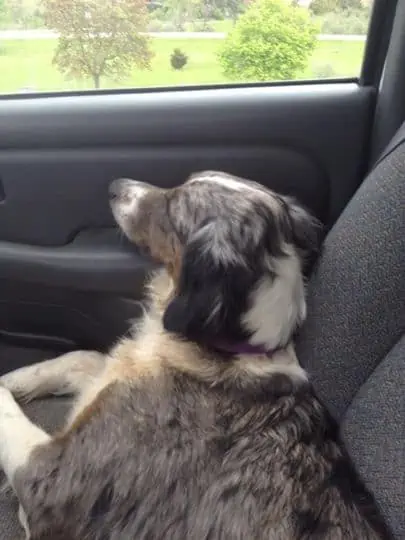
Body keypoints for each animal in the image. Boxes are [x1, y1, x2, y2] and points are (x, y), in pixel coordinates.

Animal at [0, 171, 392, 536]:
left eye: (174, 208)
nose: (115, 186)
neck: (230, 349)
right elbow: (81, 358)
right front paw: (16, 377)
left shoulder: (51, 478)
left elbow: (11, 418)